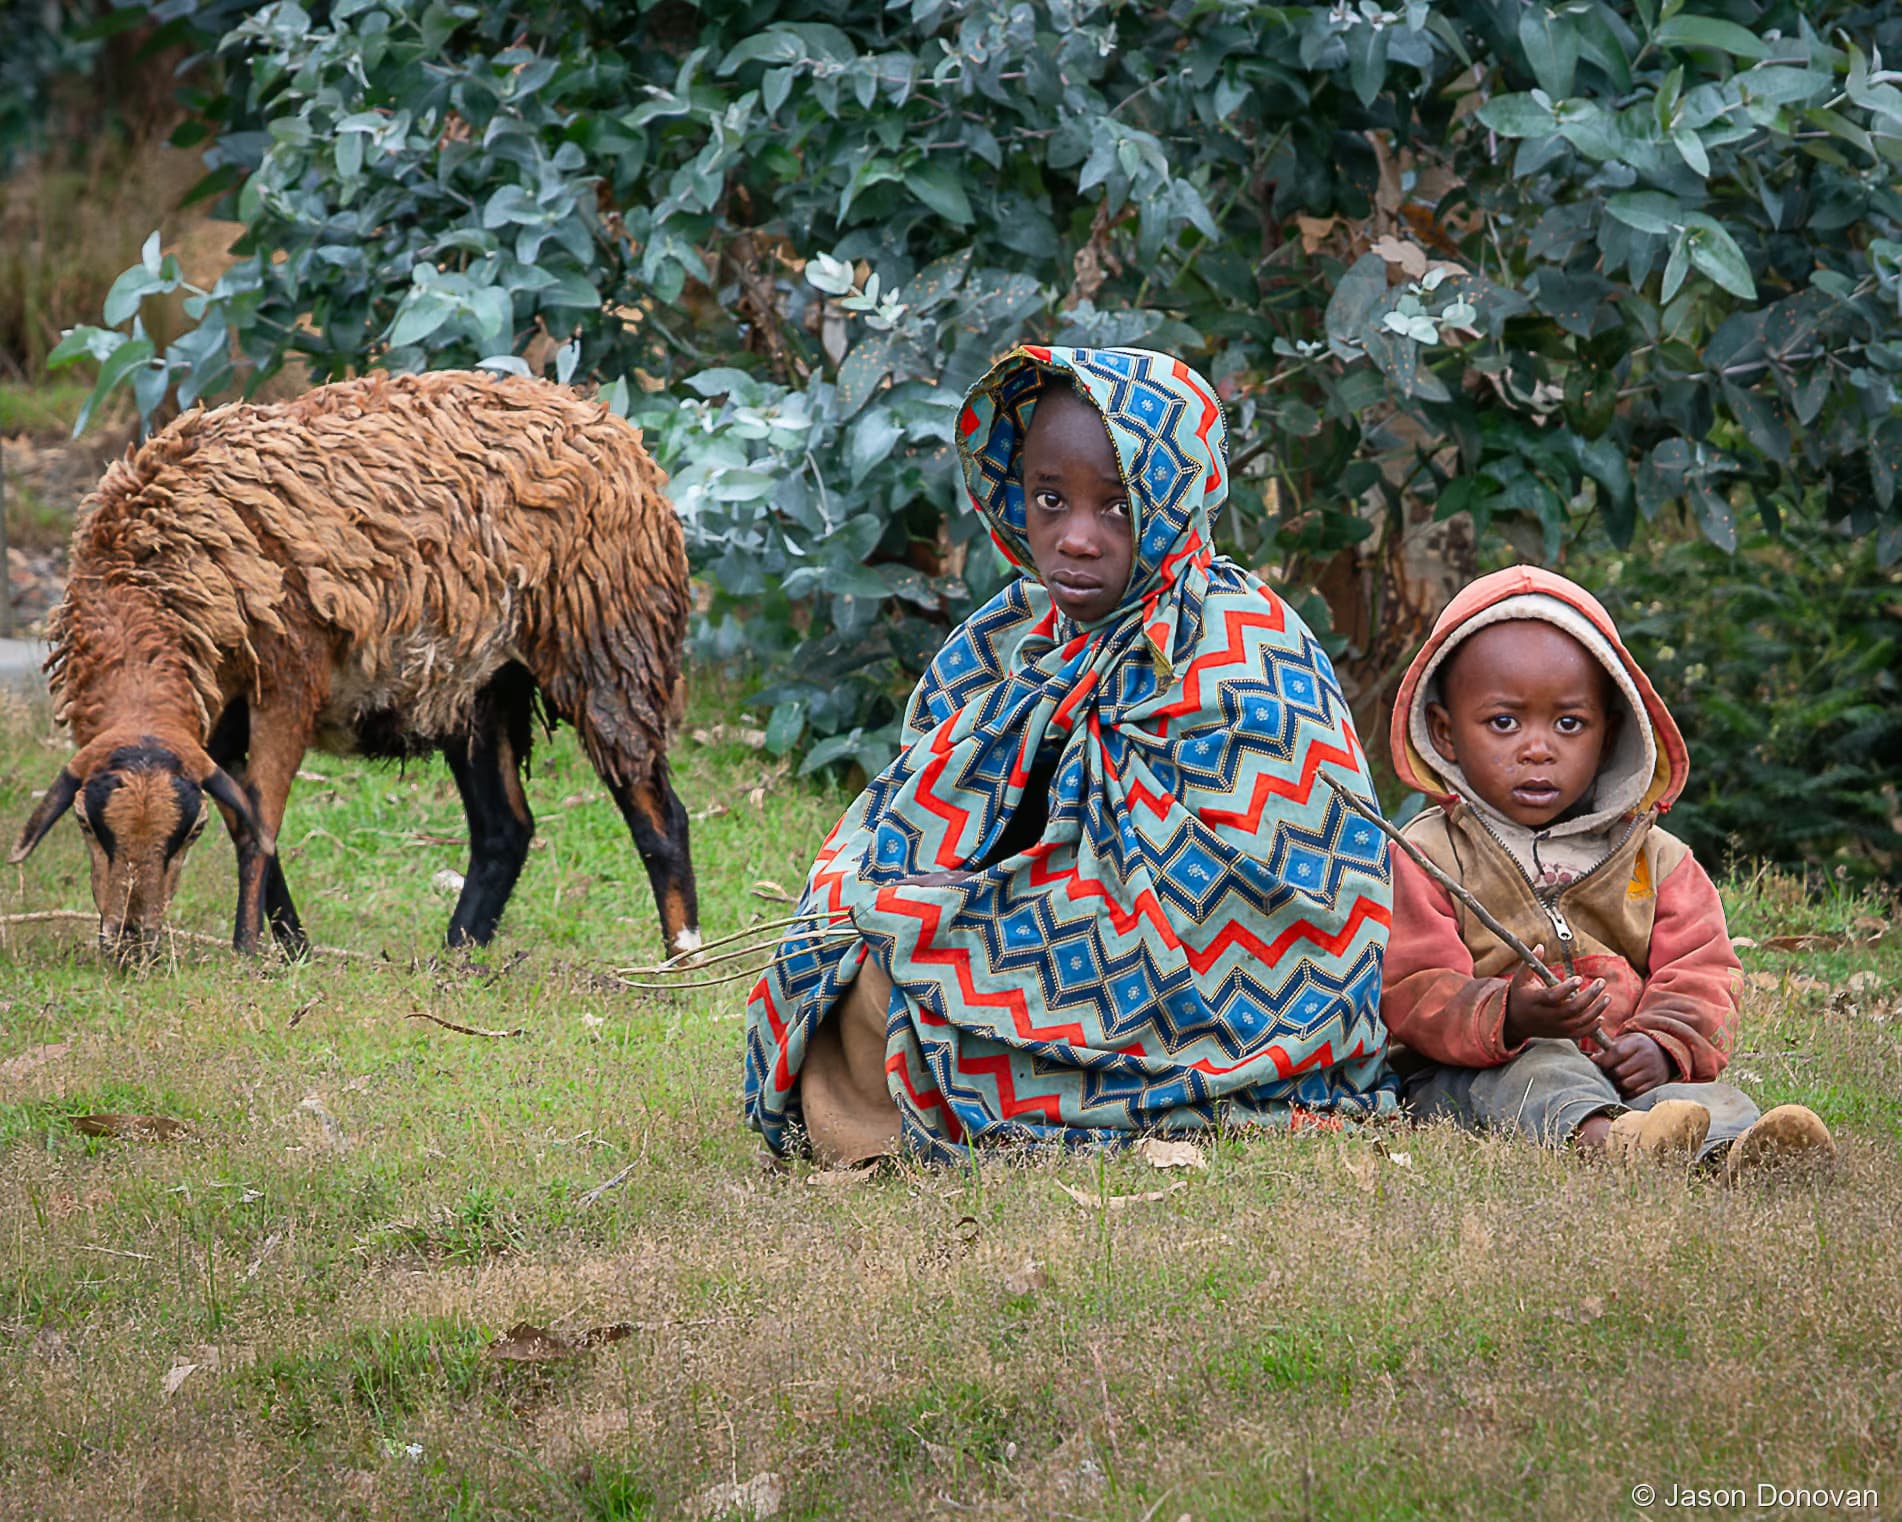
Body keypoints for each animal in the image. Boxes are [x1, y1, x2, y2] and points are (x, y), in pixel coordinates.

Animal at [10, 370, 699, 956]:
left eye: (188, 834)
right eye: (86, 826)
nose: (131, 943)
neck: (149, 585)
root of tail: (610, 424)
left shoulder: (288, 678)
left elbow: (261, 819)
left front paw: (249, 951)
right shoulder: (218, 725)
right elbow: (249, 821)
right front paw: (292, 947)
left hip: (610, 646)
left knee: (660, 817)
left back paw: (680, 963)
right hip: (479, 684)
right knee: (505, 828)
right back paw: (456, 958)